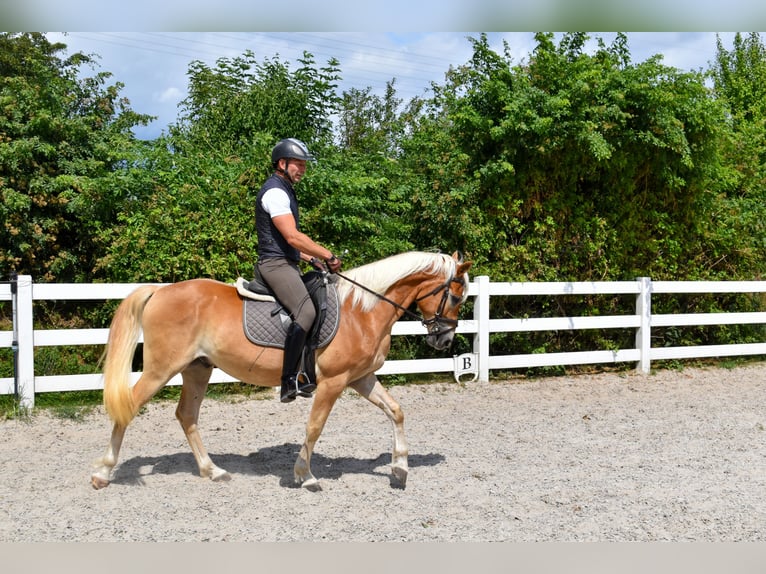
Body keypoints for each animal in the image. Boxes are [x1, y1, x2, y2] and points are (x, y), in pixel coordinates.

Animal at [90, 251, 472, 490]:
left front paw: (400, 469)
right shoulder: (333, 382)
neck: (361, 310)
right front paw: (305, 475)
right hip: (162, 369)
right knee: (128, 409)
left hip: (197, 369)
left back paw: (213, 471)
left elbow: (396, 411)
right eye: (456, 297)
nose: (444, 339)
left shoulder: (361, 378)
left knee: (187, 416)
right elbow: (315, 427)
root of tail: (160, 291)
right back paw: (103, 473)